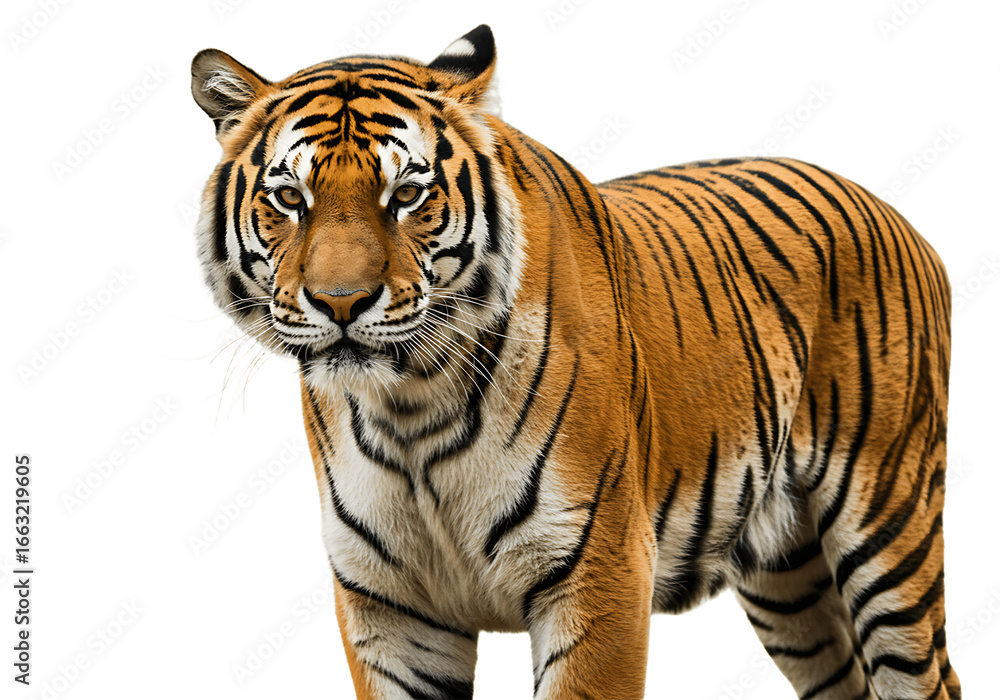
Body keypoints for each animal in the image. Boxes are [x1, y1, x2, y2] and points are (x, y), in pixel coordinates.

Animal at [190, 24, 960, 700]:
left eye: (406, 194)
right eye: (290, 198)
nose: (340, 302)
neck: (410, 408)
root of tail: (899, 217)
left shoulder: (599, 572)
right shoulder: (389, 608)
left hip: (888, 529)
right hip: (789, 577)